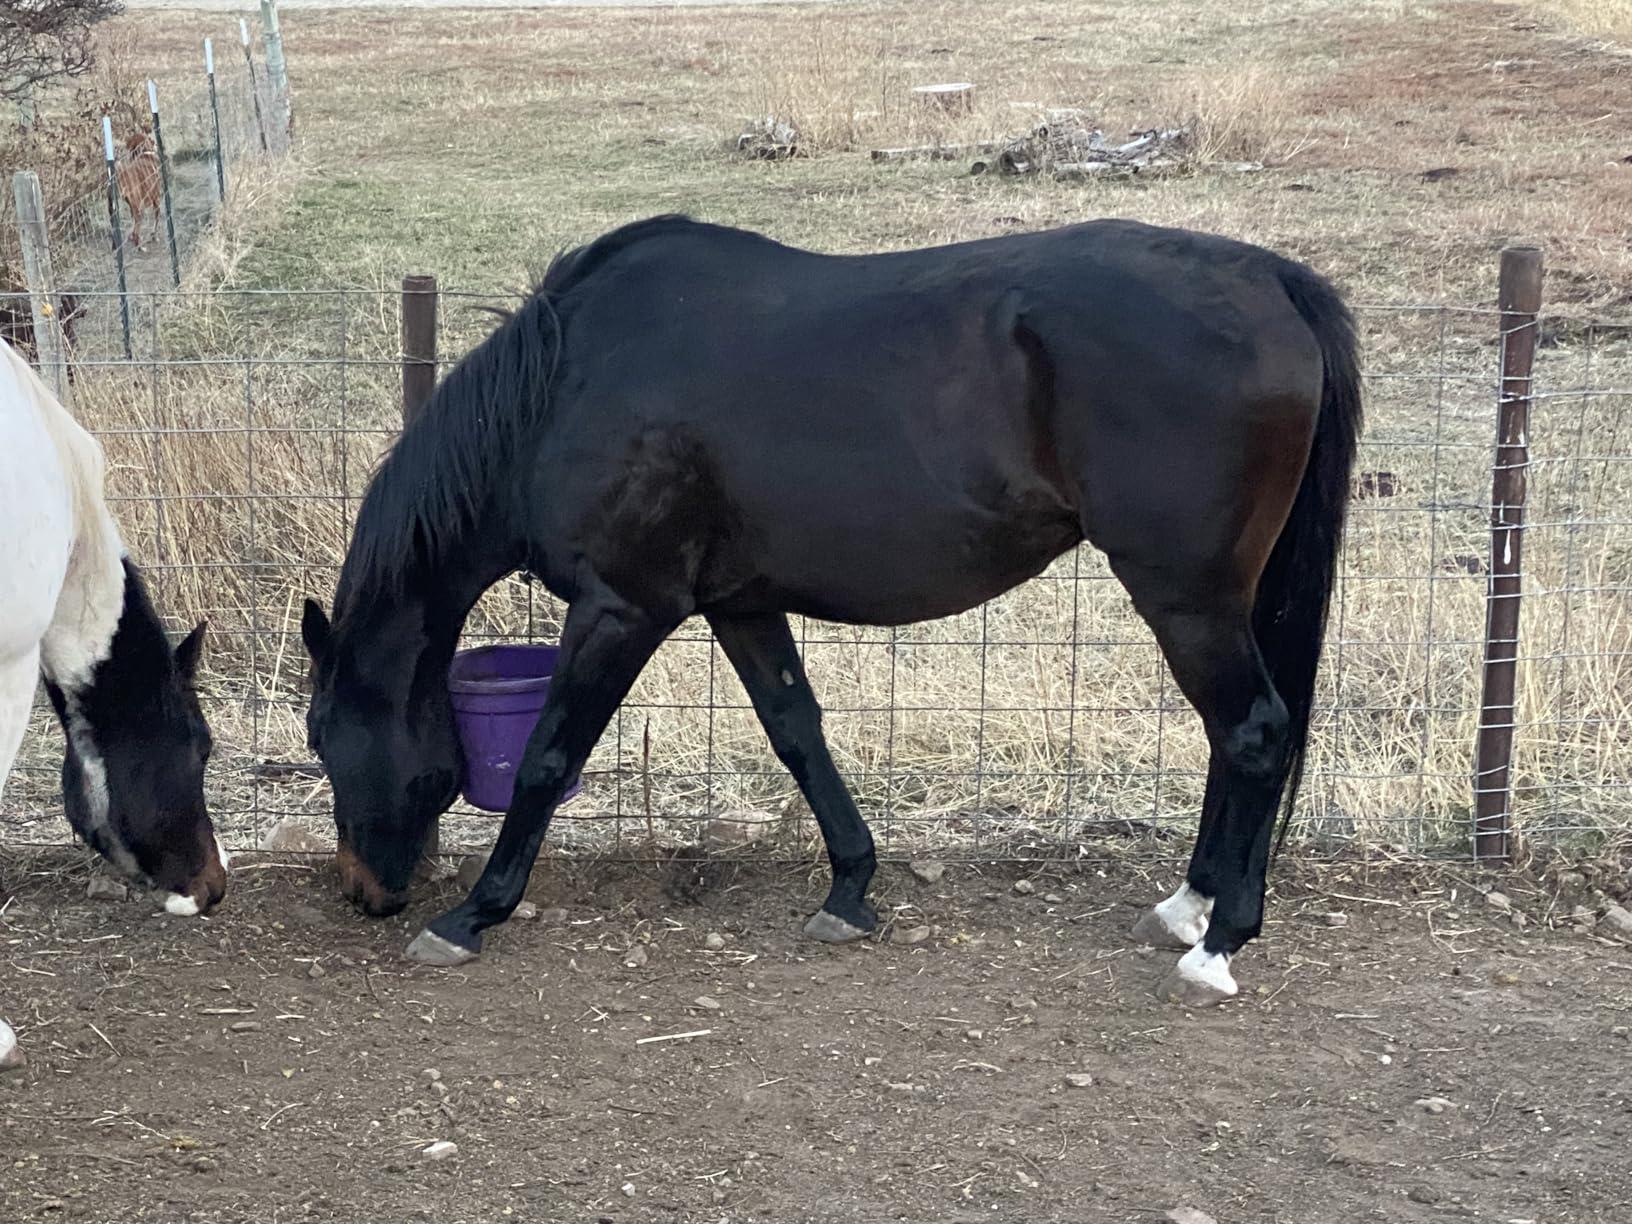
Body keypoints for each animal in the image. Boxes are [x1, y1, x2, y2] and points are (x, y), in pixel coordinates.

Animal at [301, 214, 1361, 1007]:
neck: (564, 389)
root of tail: (1270, 280)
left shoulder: (622, 607)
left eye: (320, 738)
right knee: (1237, 738)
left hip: (1187, 598)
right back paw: (1188, 906)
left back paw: (1218, 942)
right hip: (1221, 598)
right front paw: (851, 887)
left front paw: (472, 914)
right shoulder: (738, 606)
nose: (361, 891)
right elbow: (797, 734)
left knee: (1254, 733)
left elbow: (548, 758)